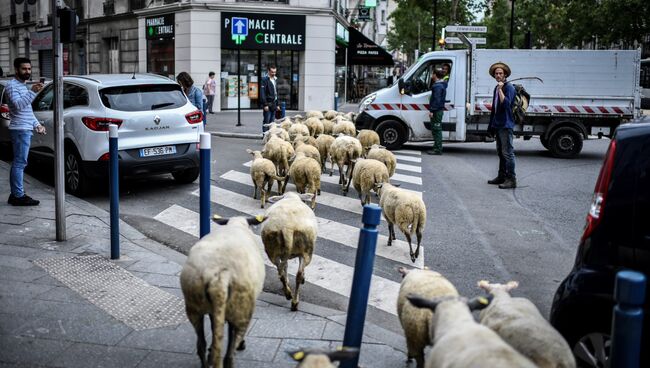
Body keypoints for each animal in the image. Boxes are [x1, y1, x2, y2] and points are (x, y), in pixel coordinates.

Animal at [178, 216, 264, 368]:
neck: (236, 224)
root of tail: (219, 276)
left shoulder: (215, 311)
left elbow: (214, 327)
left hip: (194, 305)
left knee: (201, 344)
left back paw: (207, 359)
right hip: (242, 309)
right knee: (230, 353)